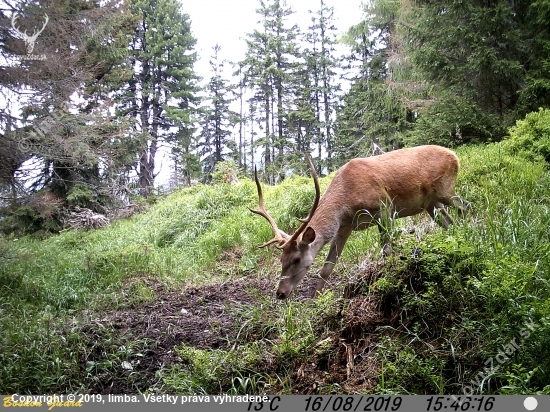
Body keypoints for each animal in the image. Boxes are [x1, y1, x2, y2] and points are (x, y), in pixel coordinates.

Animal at [250, 145, 470, 300]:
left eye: (296, 259)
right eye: (281, 259)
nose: (280, 293)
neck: (346, 201)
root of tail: (455, 156)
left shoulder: (385, 206)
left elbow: (386, 250)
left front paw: (387, 281)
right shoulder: (345, 226)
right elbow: (327, 267)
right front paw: (316, 300)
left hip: (445, 190)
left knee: (465, 207)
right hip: (431, 204)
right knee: (450, 222)